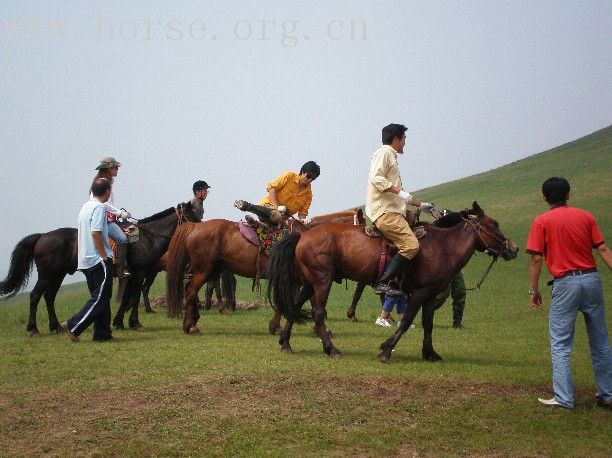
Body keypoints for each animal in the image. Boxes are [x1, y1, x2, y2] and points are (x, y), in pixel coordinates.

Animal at [0, 204, 198, 336]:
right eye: (192, 215)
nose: (201, 228)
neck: (147, 238)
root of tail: (42, 236)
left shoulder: (130, 276)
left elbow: (126, 299)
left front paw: (119, 322)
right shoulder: (139, 274)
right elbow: (134, 298)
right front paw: (135, 323)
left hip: (57, 275)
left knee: (49, 297)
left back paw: (55, 326)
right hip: (47, 275)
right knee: (35, 296)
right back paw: (33, 329)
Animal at [266, 202, 516, 360]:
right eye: (494, 223)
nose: (513, 248)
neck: (443, 246)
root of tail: (303, 235)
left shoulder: (431, 295)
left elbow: (428, 324)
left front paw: (430, 353)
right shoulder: (419, 292)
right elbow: (406, 321)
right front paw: (386, 349)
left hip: (310, 282)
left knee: (294, 307)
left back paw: (286, 343)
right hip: (322, 281)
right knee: (317, 313)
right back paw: (331, 349)